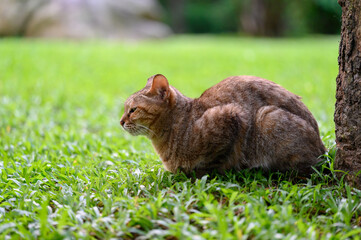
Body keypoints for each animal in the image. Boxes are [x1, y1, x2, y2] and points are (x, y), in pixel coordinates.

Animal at [119, 74, 324, 177]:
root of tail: (323, 148)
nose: (121, 122)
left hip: (267, 117)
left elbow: (215, 160)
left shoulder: (231, 117)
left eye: (132, 110)